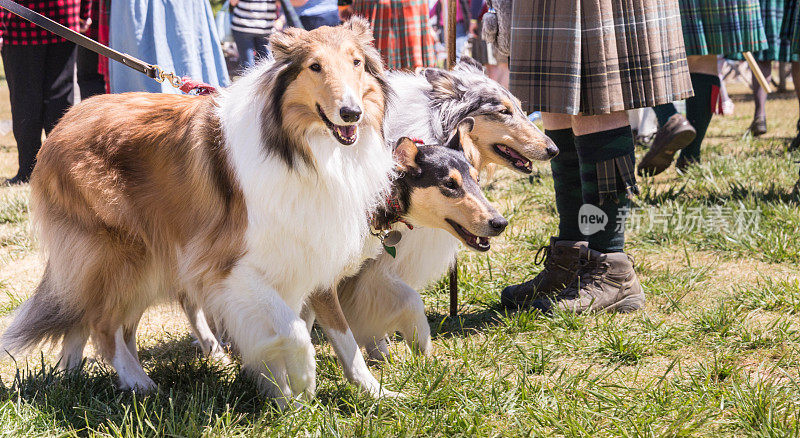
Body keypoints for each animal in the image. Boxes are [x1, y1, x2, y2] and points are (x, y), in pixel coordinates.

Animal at [0, 18, 394, 408]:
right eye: (315, 66)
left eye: (357, 62)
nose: (351, 113)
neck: (299, 150)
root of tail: (63, 122)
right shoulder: (227, 269)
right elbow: (296, 331)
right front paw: (302, 382)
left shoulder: (305, 259)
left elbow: (341, 336)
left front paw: (370, 393)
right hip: (123, 256)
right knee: (101, 325)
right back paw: (140, 384)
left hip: (148, 261)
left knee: (103, 323)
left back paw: (78, 378)